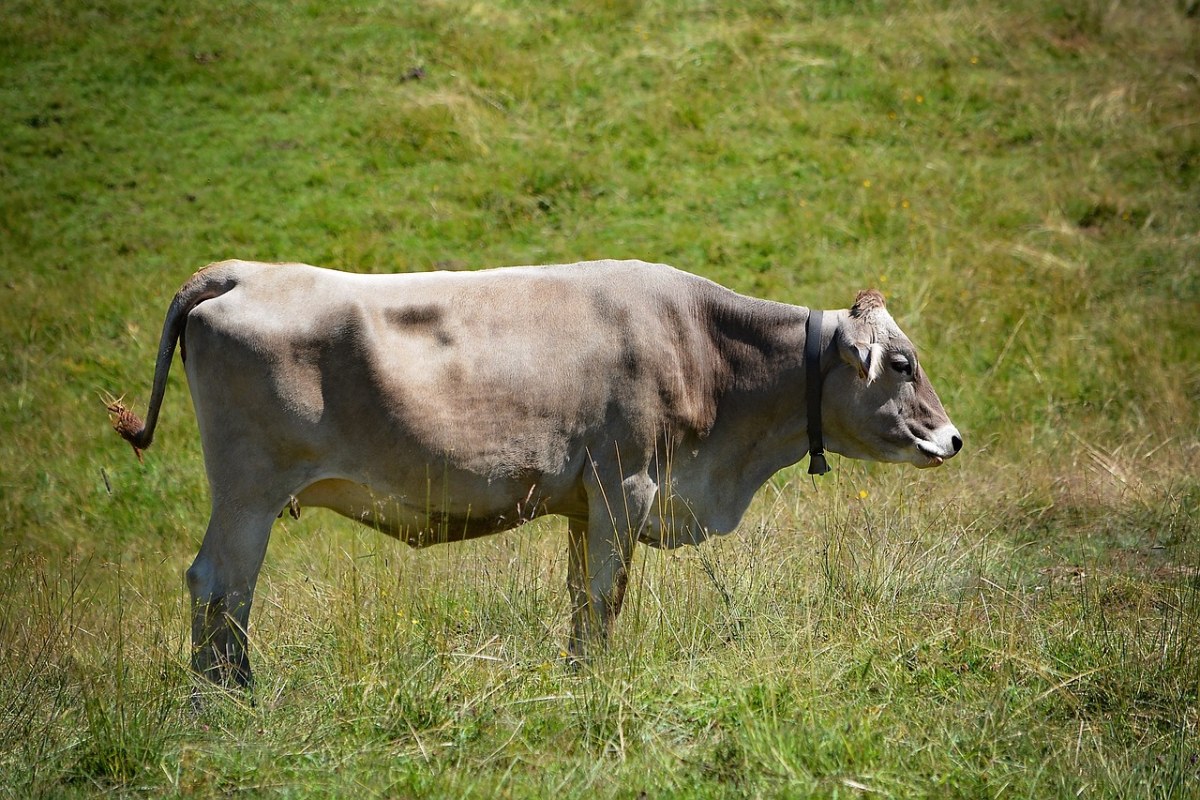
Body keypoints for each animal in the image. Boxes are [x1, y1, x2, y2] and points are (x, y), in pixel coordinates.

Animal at [108, 260, 960, 686]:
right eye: (904, 364)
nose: (952, 439)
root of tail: (242, 271)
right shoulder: (626, 484)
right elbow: (608, 597)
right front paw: (599, 683)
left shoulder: (586, 503)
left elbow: (582, 600)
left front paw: (577, 675)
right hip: (248, 491)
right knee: (219, 584)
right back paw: (229, 697)